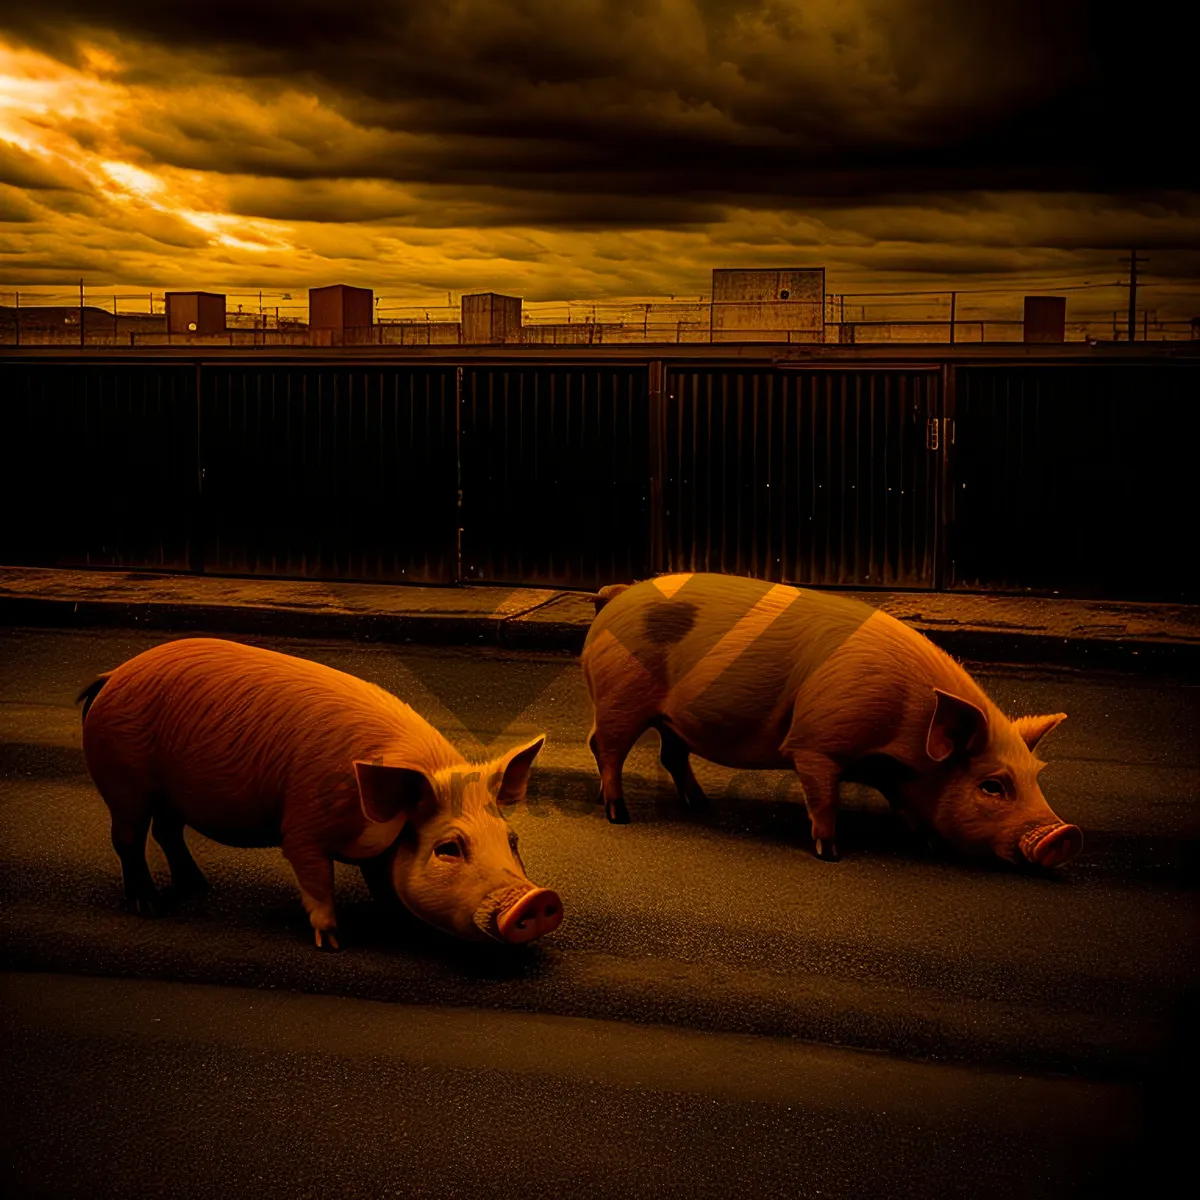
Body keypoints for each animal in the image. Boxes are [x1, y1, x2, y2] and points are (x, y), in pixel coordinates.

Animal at [77, 638, 564, 945]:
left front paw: (400, 924)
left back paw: (199, 885)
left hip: (169, 794)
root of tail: (111, 676)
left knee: (167, 832)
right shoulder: (303, 825)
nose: (538, 899)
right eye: (448, 848)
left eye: (512, 840)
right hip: (124, 782)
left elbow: (384, 882)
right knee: (128, 839)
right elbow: (316, 879)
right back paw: (150, 906)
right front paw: (335, 941)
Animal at [585, 573, 1084, 873]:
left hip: (667, 718)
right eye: (993, 786)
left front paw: (927, 842)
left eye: (1035, 778)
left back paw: (700, 804)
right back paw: (619, 814)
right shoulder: (817, 743)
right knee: (604, 747)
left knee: (670, 755)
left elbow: (907, 806)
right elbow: (824, 799)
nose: (1065, 834)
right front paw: (832, 854)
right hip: (618, 699)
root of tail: (614, 597)